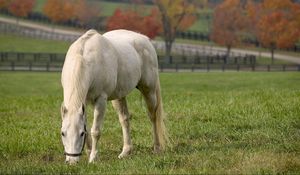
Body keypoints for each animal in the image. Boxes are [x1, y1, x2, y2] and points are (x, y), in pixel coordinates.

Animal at [59, 29, 165, 164]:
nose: (72, 161)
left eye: (81, 133)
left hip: (149, 91)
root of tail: (145, 39)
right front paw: (88, 152)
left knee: (153, 117)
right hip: (119, 97)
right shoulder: (84, 102)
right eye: (63, 133)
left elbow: (95, 131)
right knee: (125, 120)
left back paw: (157, 148)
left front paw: (93, 157)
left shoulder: (101, 100)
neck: (85, 59)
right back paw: (126, 152)